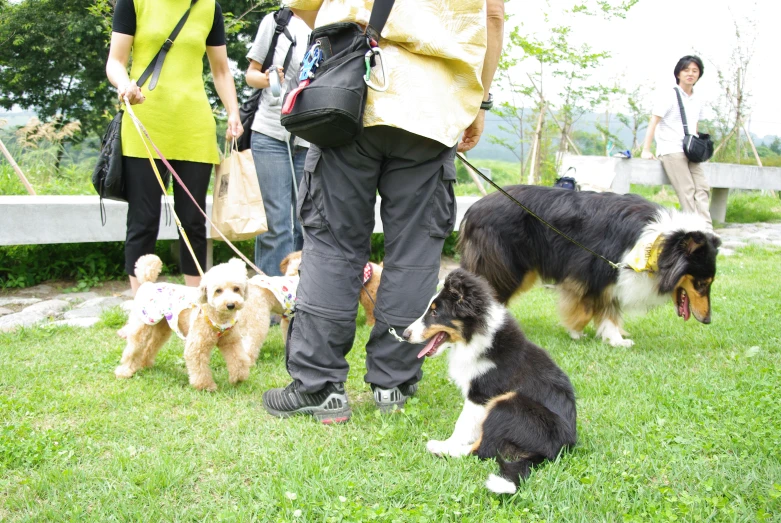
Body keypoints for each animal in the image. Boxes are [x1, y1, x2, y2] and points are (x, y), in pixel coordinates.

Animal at [114, 254, 250, 392]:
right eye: (218, 290)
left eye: (236, 289)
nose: (231, 305)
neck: (218, 317)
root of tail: (148, 284)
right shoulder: (197, 347)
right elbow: (199, 367)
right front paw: (206, 386)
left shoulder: (231, 342)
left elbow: (238, 359)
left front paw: (238, 378)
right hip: (142, 325)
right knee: (133, 349)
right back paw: (125, 371)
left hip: (161, 328)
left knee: (150, 346)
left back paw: (145, 365)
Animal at [406, 270, 576, 496]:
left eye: (435, 313)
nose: (404, 334)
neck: (475, 337)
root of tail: (552, 452)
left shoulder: (481, 394)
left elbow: (463, 424)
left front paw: (450, 442)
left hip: (509, 403)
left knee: (484, 450)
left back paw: (439, 447)